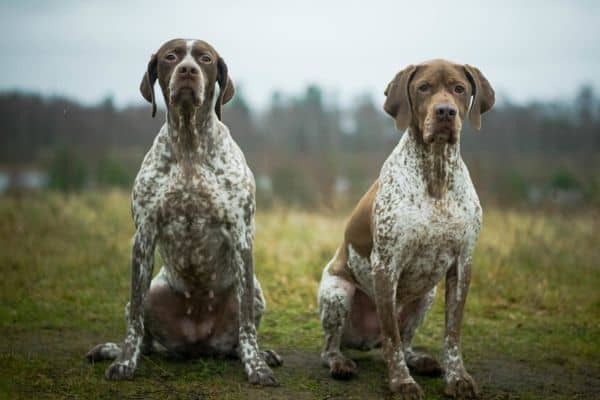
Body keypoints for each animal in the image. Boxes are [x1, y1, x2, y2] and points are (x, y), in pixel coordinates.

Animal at [85, 39, 282, 386]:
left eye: (205, 58)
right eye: (170, 56)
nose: (187, 70)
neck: (190, 144)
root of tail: (197, 342)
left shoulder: (241, 237)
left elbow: (246, 326)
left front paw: (257, 367)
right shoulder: (144, 237)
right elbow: (134, 324)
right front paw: (124, 363)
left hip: (254, 291)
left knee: (238, 338)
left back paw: (259, 353)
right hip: (152, 292)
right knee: (144, 335)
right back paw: (118, 351)